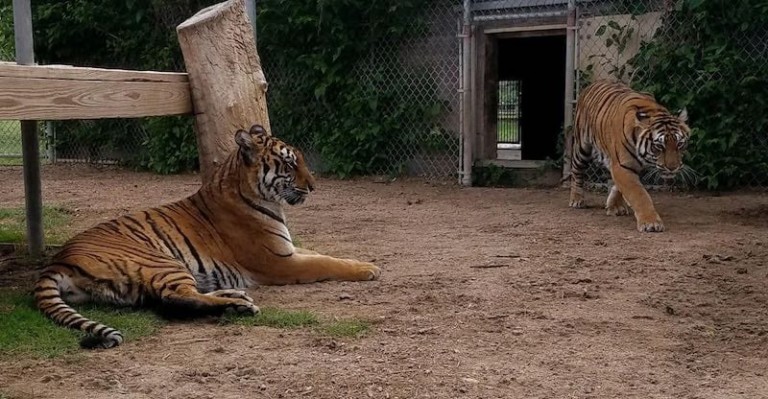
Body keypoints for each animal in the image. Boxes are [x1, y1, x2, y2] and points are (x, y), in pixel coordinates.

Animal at [33, 123, 380, 348]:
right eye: (289, 163)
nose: (313, 186)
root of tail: (58, 261)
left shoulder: (288, 249)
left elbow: (322, 253)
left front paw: (363, 260)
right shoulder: (278, 261)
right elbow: (325, 263)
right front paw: (369, 269)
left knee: (170, 299)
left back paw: (235, 298)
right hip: (161, 261)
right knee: (174, 299)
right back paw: (239, 306)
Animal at [568, 79, 692, 233]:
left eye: (679, 144)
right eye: (659, 146)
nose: (672, 168)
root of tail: (592, 84)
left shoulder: (622, 166)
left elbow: (620, 186)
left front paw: (615, 206)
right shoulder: (623, 166)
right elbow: (639, 194)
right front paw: (650, 223)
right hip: (582, 147)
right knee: (576, 171)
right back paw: (576, 199)